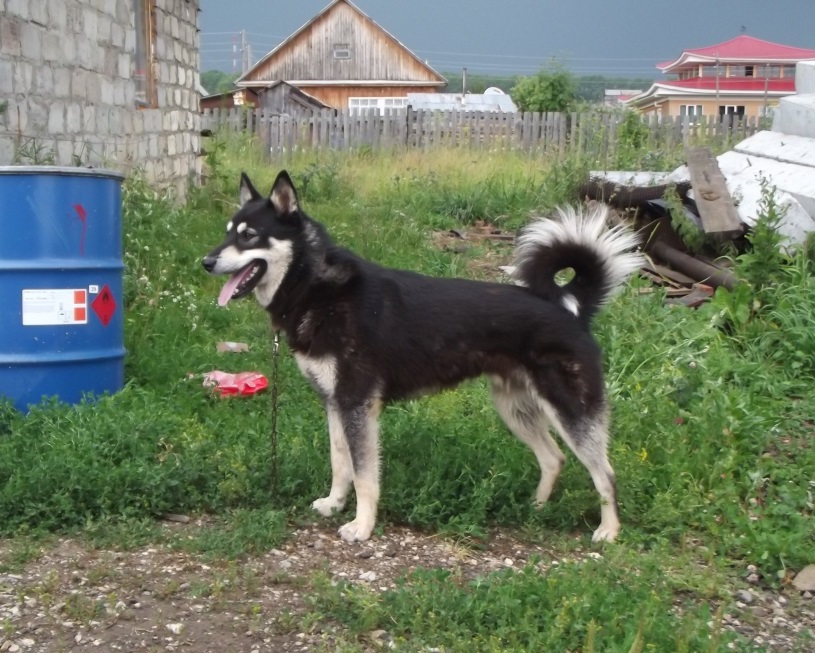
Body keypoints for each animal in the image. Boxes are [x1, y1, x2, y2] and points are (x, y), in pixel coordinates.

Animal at [204, 171, 644, 544]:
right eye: (226, 233)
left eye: (249, 236)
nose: (207, 261)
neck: (315, 287)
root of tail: (569, 307)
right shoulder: (334, 402)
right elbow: (340, 461)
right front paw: (334, 504)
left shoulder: (358, 405)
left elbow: (364, 475)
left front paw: (361, 526)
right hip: (514, 408)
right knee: (554, 459)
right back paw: (535, 508)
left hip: (569, 410)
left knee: (605, 474)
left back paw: (609, 531)